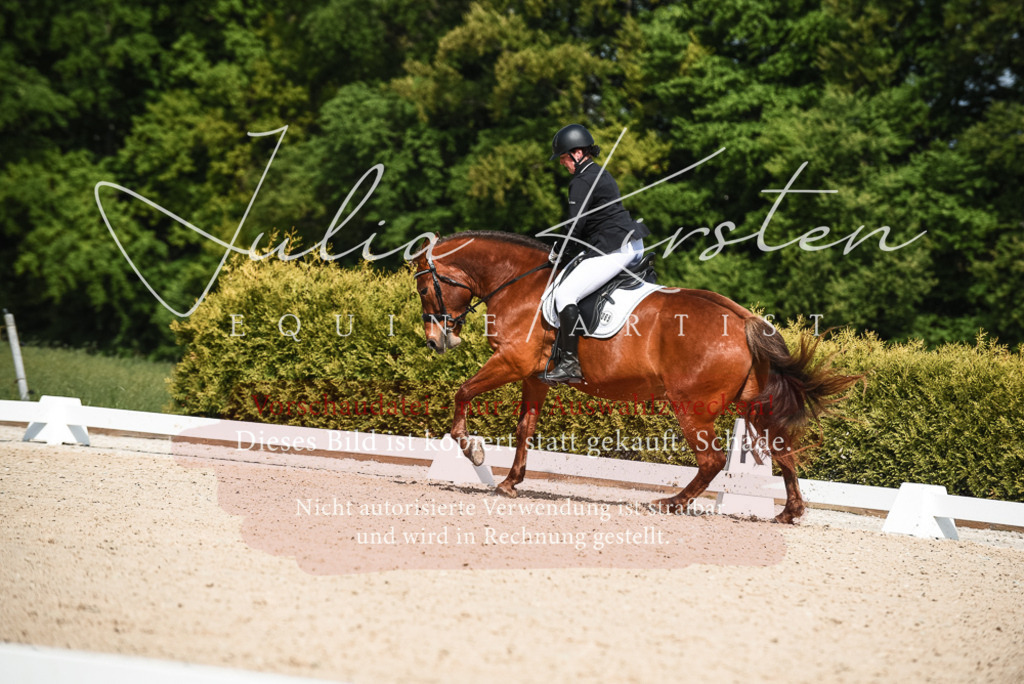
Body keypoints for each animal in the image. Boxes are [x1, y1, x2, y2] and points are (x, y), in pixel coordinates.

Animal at [412, 230, 859, 523]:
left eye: (423, 289)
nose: (436, 341)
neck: (518, 282)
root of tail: (743, 318)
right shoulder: (534, 377)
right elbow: (525, 427)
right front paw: (509, 481)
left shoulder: (510, 362)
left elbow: (462, 393)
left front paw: (473, 450)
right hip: (751, 404)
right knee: (783, 450)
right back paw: (790, 512)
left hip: (692, 406)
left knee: (713, 460)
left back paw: (671, 504)